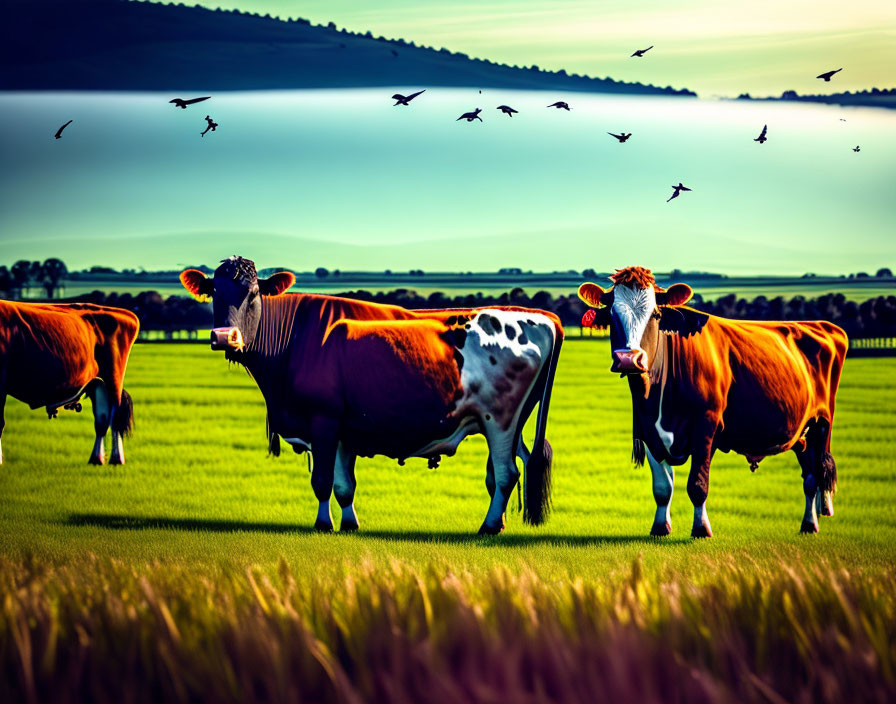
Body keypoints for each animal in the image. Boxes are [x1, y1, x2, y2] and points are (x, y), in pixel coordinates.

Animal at [0, 300, 138, 464]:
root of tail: (126, 313)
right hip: (98, 384)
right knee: (101, 419)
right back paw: (96, 459)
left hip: (113, 378)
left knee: (115, 417)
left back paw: (116, 459)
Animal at [178, 256, 564, 536]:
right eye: (213, 292)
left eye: (253, 294)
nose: (224, 337)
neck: (297, 337)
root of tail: (539, 317)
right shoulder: (342, 428)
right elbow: (343, 484)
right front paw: (349, 523)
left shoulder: (323, 419)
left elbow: (321, 481)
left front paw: (323, 525)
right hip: (510, 424)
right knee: (507, 471)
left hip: (500, 421)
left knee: (507, 474)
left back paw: (488, 526)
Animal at [580, 266, 848, 536]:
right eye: (612, 315)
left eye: (655, 315)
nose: (629, 359)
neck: (657, 396)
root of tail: (823, 325)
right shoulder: (648, 430)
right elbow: (663, 488)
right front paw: (660, 527)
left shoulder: (706, 425)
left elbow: (698, 485)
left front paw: (701, 528)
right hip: (802, 433)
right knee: (808, 473)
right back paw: (808, 524)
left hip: (822, 424)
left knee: (815, 475)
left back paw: (811, 523)